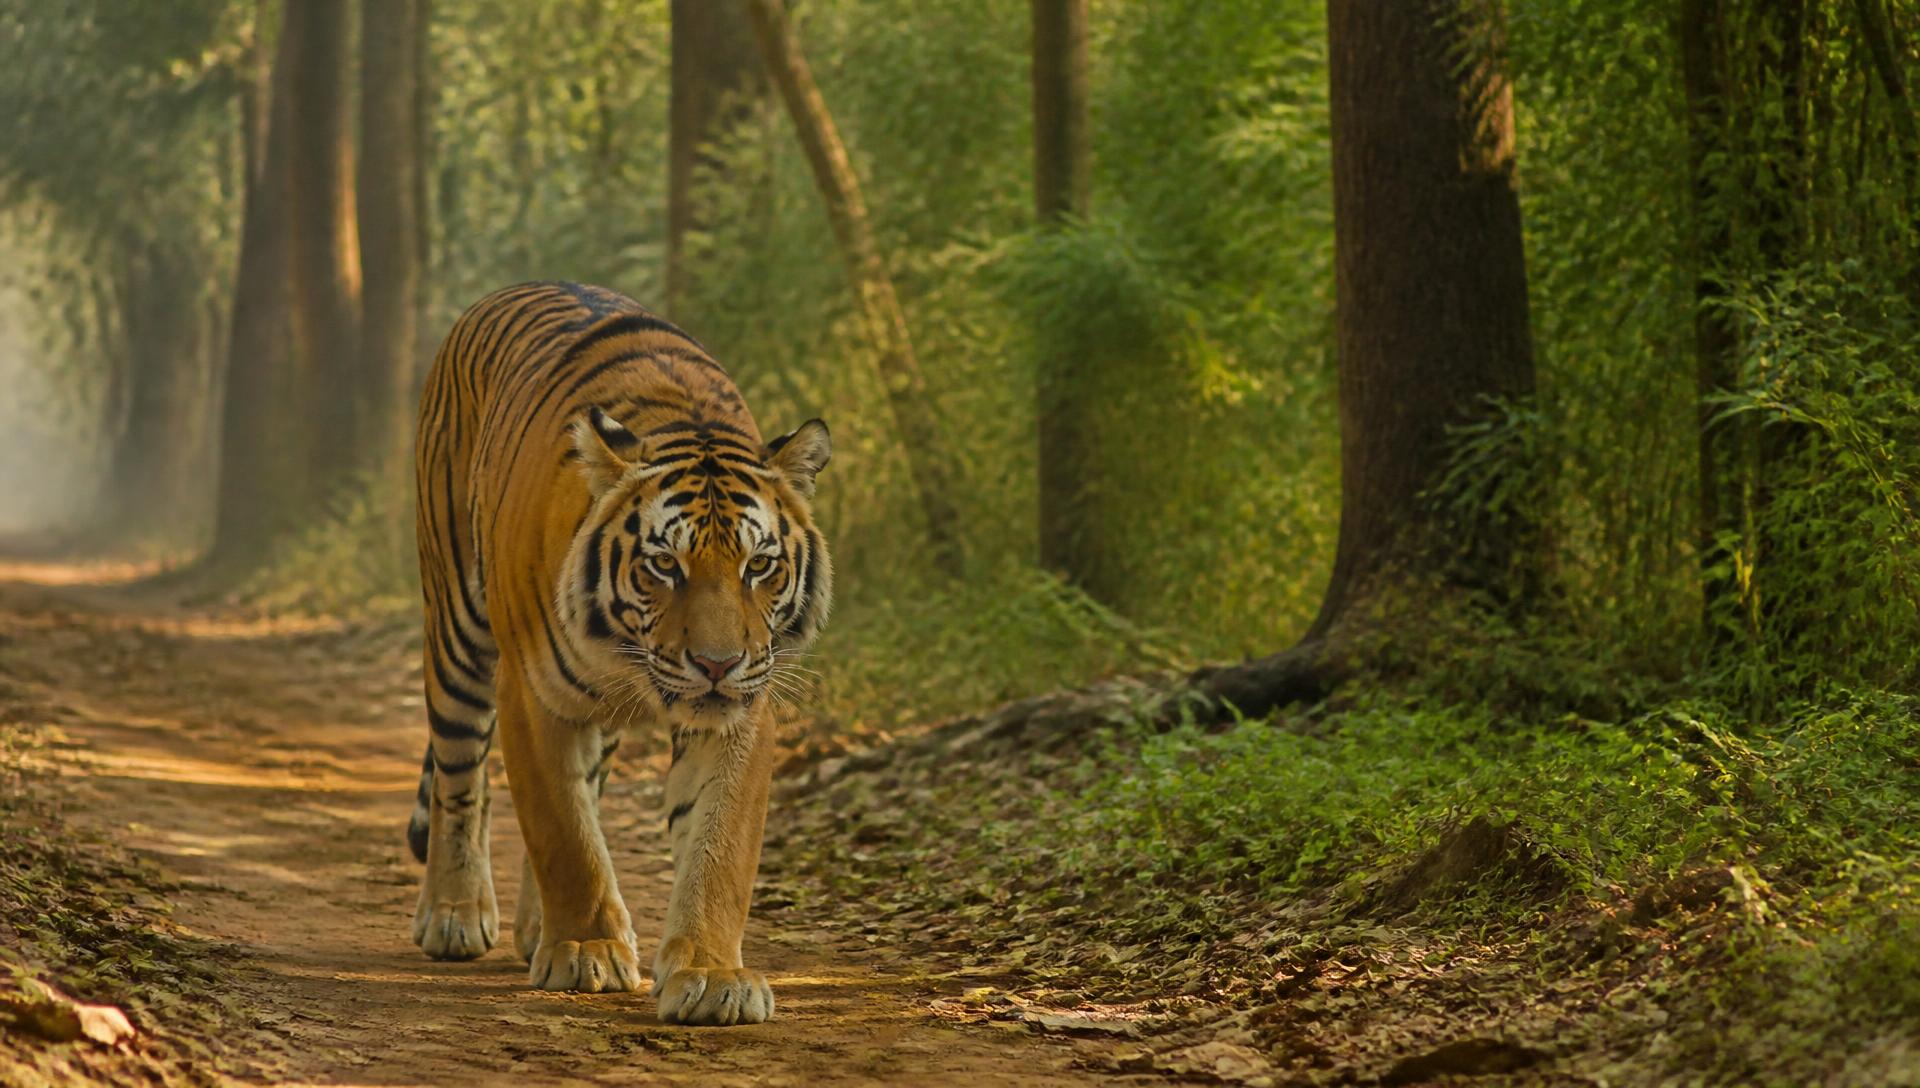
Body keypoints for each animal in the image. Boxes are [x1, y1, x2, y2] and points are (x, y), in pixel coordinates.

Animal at [403, 281, 831, 1026]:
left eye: (758, 565)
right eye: (664, 564)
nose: (717, 664)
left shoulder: (744, 710)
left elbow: (719, 846)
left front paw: (712, 975)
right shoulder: (532, 693)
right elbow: (562, 831)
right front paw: (587, 951)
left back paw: (533, 927)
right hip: (458, 627)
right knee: (463, 777)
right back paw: (455, 913)